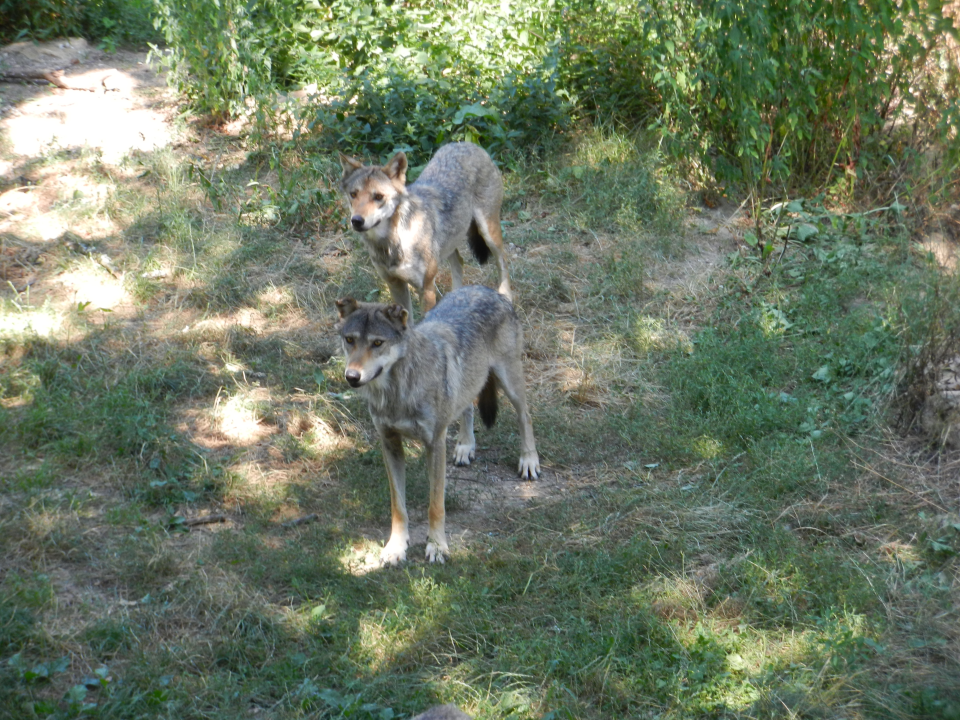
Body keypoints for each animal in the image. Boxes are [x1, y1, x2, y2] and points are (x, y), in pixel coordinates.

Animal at [336, 285, 540, 565]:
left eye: (377, 343)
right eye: (350, 340)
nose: (352, 376)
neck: (398, 393)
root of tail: (487, 289)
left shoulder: (435, 444)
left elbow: (436, 505)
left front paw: (437, 547)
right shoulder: (390, 444)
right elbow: (397, 506)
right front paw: (396, 547)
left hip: (509, 381)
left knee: (525, 416)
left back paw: (529, 461)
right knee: (467, 408)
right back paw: (465, 447)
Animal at [339, 142, 511, 317]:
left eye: (378, 197)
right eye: (353, 194)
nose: (357, 221)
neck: (392, 243)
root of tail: (466, 144)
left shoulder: (426, 288)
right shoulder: (395, 285)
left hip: (489, 234)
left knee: (503, 260)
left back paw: (507, 297)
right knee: (459, 260)